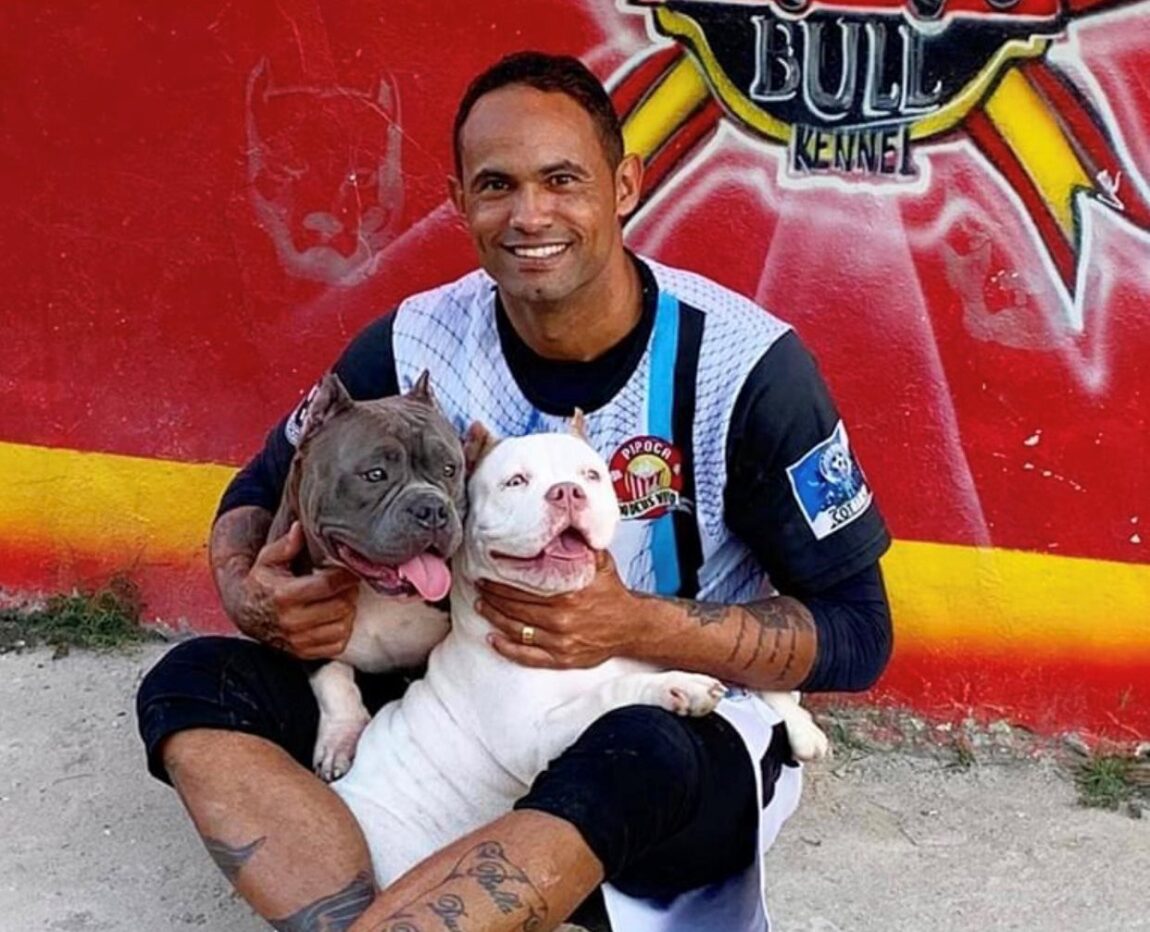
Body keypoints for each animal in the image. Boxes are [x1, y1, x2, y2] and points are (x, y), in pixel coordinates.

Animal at [269, 371, 466, 781]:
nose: (433, 508)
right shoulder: (301, 622)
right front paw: (341, 738)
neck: (372, 591)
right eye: (374, 474)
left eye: (449, 469)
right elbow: (333, 683)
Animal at [332, 420, 827, 886]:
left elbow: (730, 660)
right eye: (515, 481)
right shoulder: (533, 738)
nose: (567, 492)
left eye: (590, 475)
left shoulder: (660, 639)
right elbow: (611, 693)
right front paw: (678, 686)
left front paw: (800, 724)